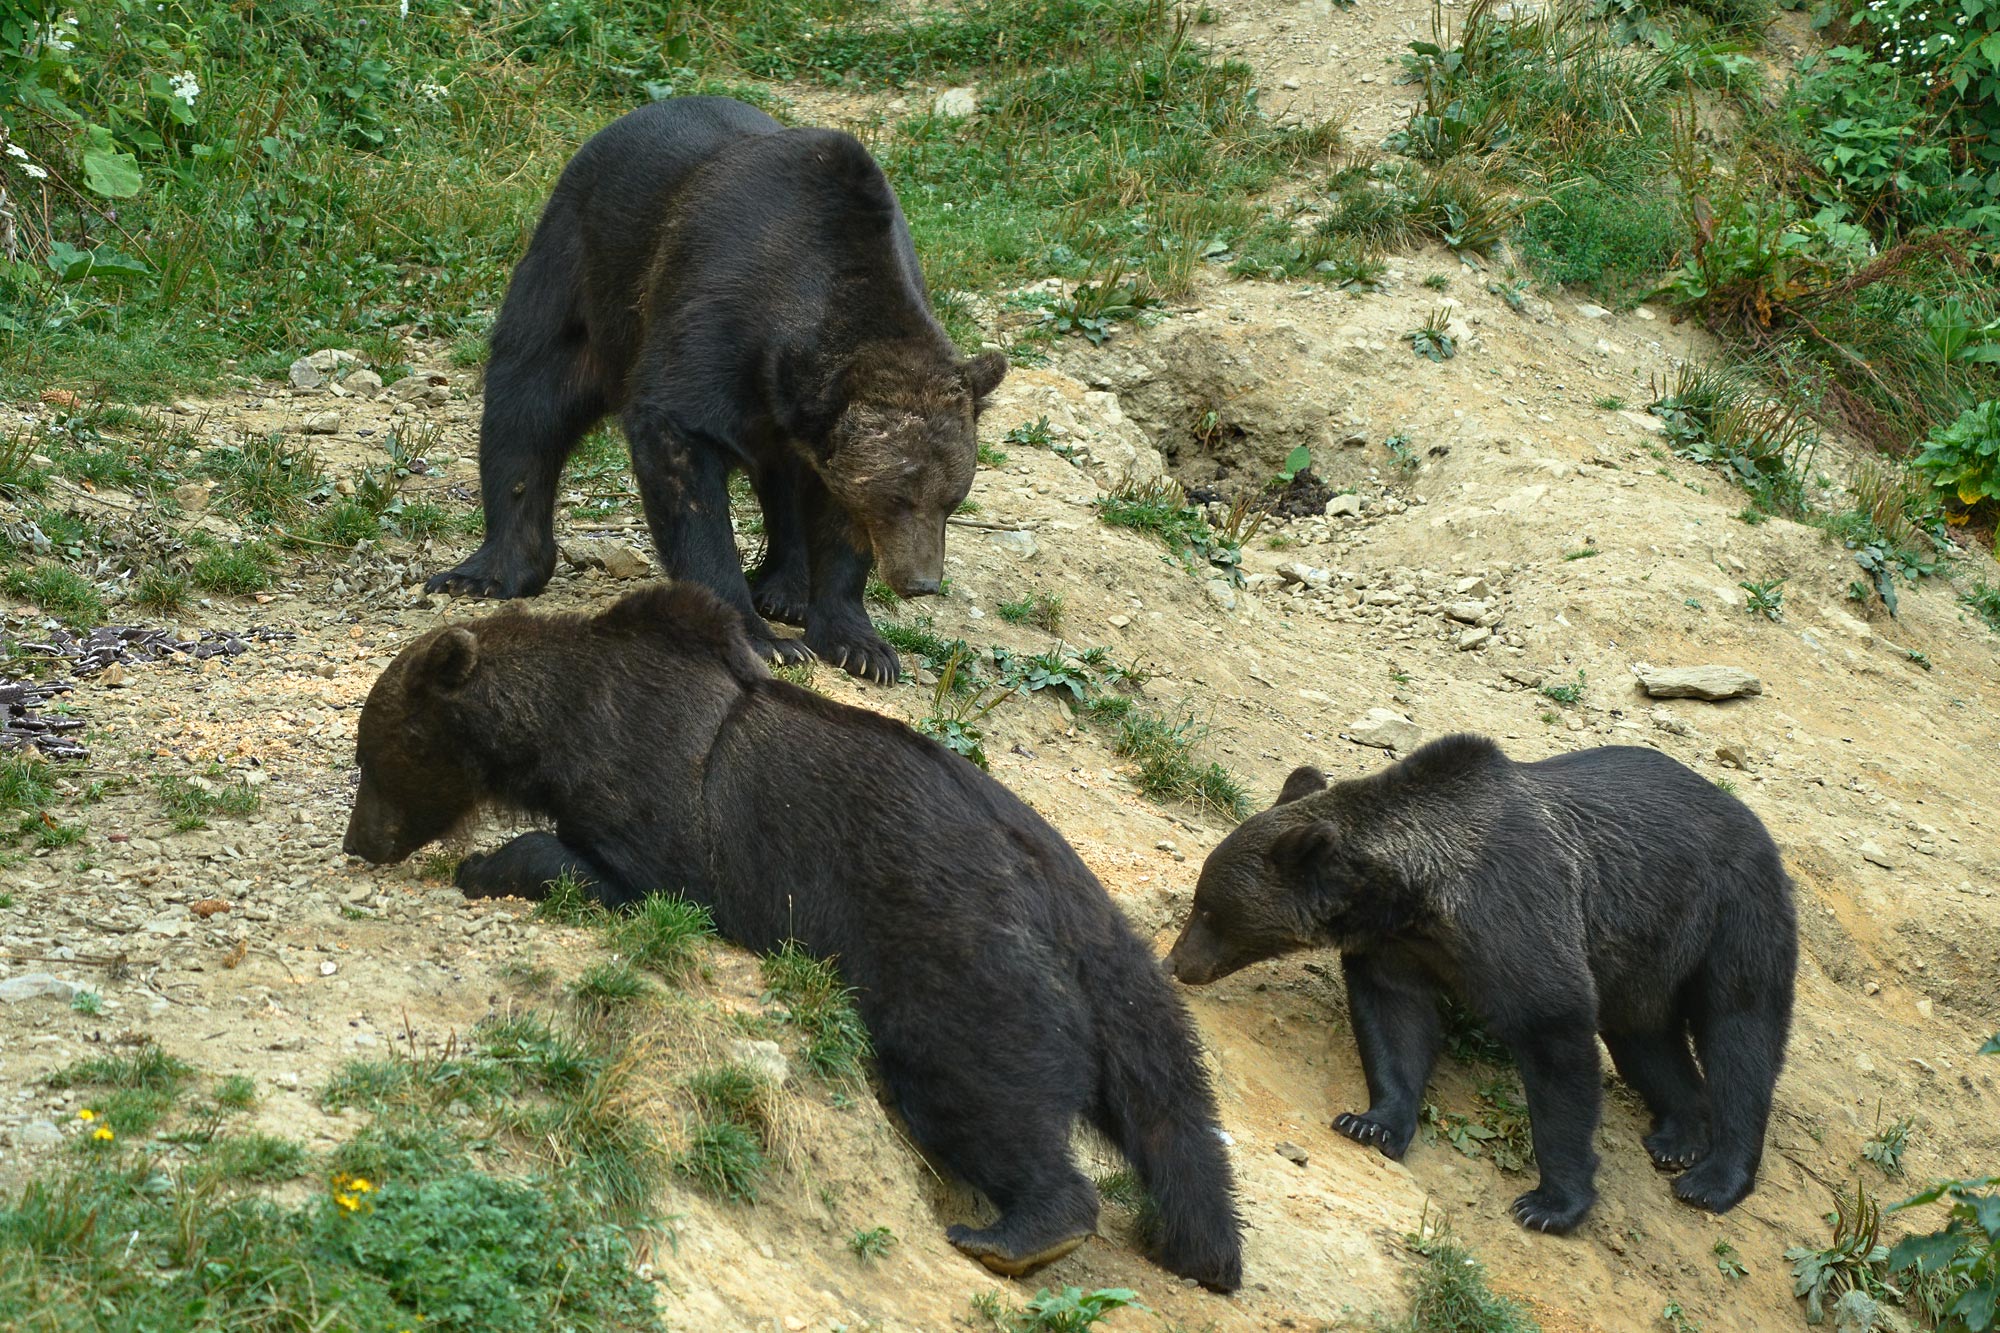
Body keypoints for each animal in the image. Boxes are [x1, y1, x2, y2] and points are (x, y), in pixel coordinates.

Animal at [348, 580, 1248, 1288]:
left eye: (375, 751)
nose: (362, 840)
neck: (564, 724)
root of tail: (1063, 902)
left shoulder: (666, 798)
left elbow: (640, 875)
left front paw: (489, 862)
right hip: (1124, 976)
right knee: (1174, 1115)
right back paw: (1203, 1250)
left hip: (957, 951)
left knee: (980, 1082)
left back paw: (1015, 1229)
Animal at [430, 97, 1008, 680]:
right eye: (897, 498)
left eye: (953, 499)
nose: (922, 582)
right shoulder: (713, 325)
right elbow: (684, 470)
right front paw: (765, 639)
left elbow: (836, 513)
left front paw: (863, 646)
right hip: (580, 269)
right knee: (527, 401)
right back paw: (488, 571)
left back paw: (785, 591)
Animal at [1160, 732, 1800, 1232]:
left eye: (1209, 908)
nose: (1176, 963)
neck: (1420, 893)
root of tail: (1753, 820)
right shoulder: (1397, 948)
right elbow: (1396, 1023)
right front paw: (1370, 1122)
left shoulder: (1517, 915)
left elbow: (1555, 1035)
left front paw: (1551, 1202)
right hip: (1644, 958)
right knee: (1646, 1038)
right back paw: (1678, 1134)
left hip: (1732, 914)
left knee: (1741, 1035)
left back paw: (1713, 1177)